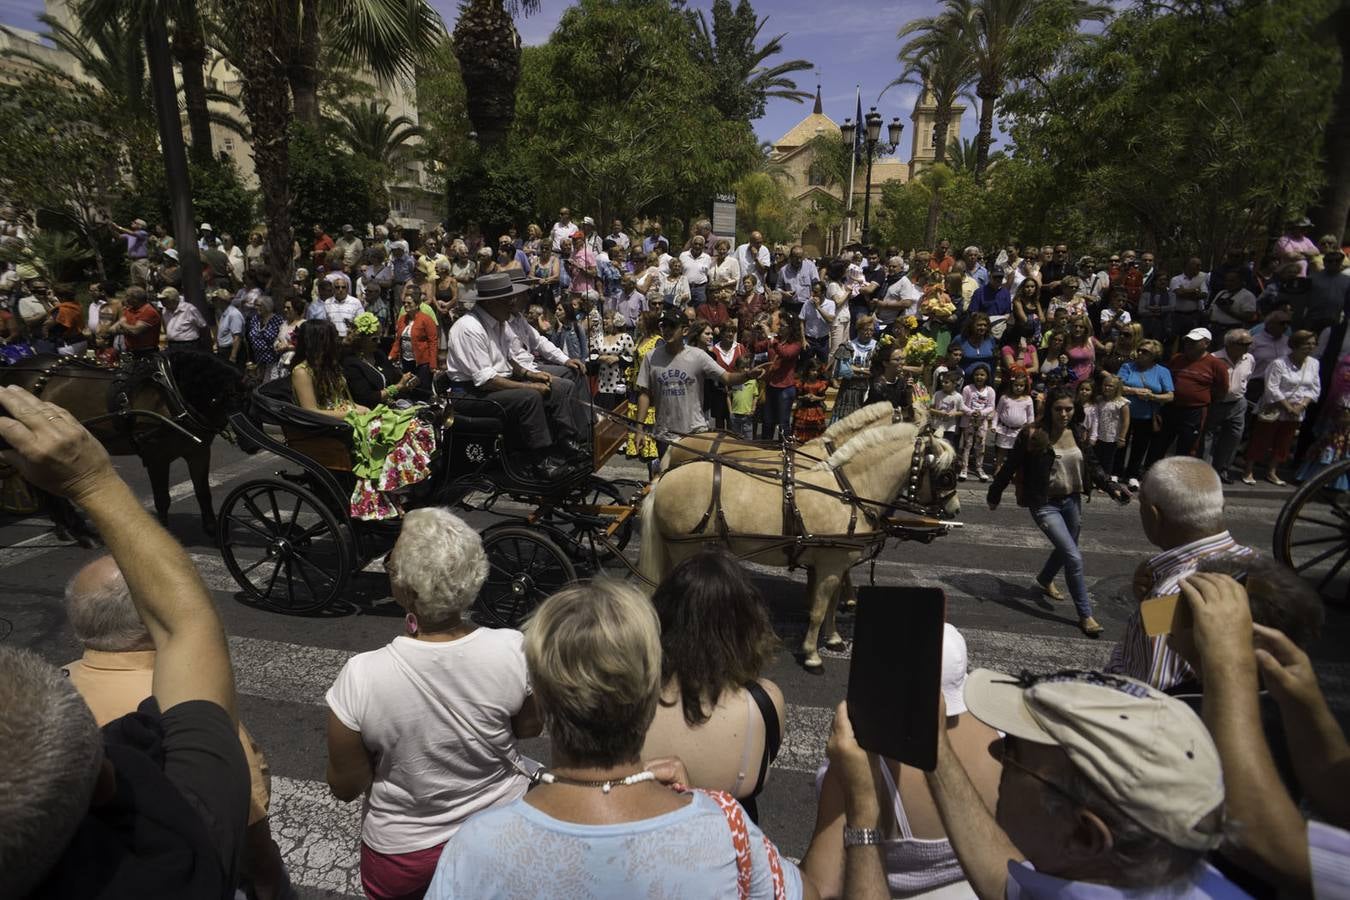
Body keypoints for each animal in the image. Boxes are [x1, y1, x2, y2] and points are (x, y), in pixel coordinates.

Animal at [0, 350, 247, 534]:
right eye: (245, 402)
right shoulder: (156, 458)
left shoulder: (198, 452)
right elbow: (162, 499)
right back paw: (67, 526)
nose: (251, 445)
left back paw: (66, 524)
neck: (172, 393)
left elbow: (202, 491)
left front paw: (213, 531)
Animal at [639, 420, 961, 669]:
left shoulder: (834, 560)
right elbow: (818, 608)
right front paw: (811, 654)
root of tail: (663, 480)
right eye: (947, 475)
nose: (955, 510)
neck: (848, 490)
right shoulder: (831, 563)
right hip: (684, 548)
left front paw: (833, 638)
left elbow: (829, 604)